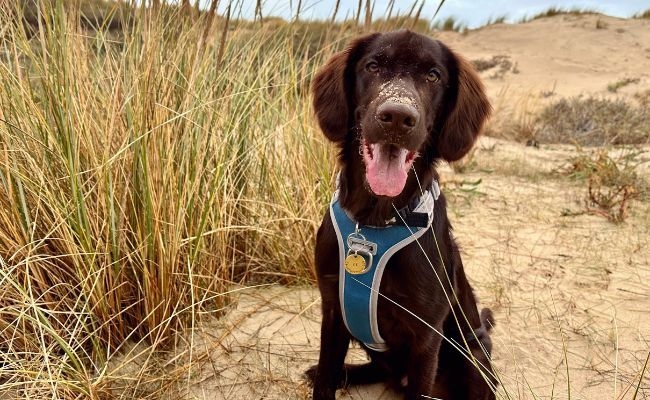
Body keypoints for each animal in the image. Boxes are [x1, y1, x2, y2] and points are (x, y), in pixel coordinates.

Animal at [306, 31, 494, 400]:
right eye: (373, 65)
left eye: (433, 75)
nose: (396, 117)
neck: (375, 219)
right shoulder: (333, 312)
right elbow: (324, 380)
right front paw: (327, 376)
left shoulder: (426, 336)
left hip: (474, 353)